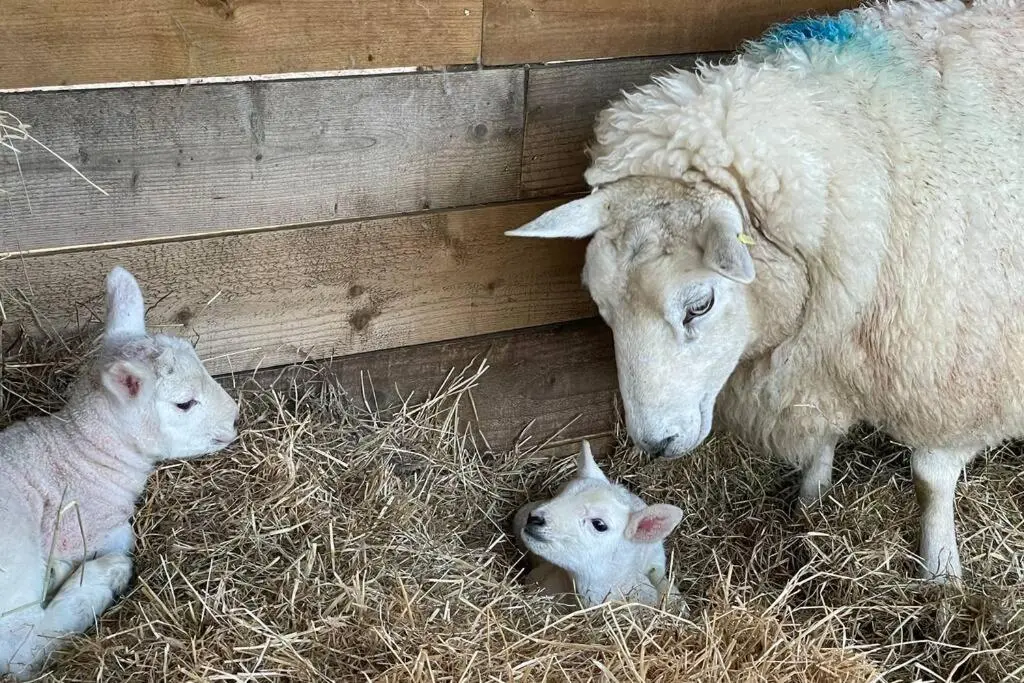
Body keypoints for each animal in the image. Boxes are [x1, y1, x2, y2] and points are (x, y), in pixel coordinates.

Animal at [0, 266, 239, 679]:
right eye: (184, 404)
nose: (234, 416)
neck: (83, 450)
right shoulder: (90, 521)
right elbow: (124, 538)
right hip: (14, 559)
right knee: (21, 651)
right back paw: (104, 576)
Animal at [506, 0, 1024, 584]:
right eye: (603, 307)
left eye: (699, 305)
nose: (654, 445)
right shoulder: (818, 356)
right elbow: (819, 442)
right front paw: (811, 505)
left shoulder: (959, 369)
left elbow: (931, 477)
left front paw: (940, 568)